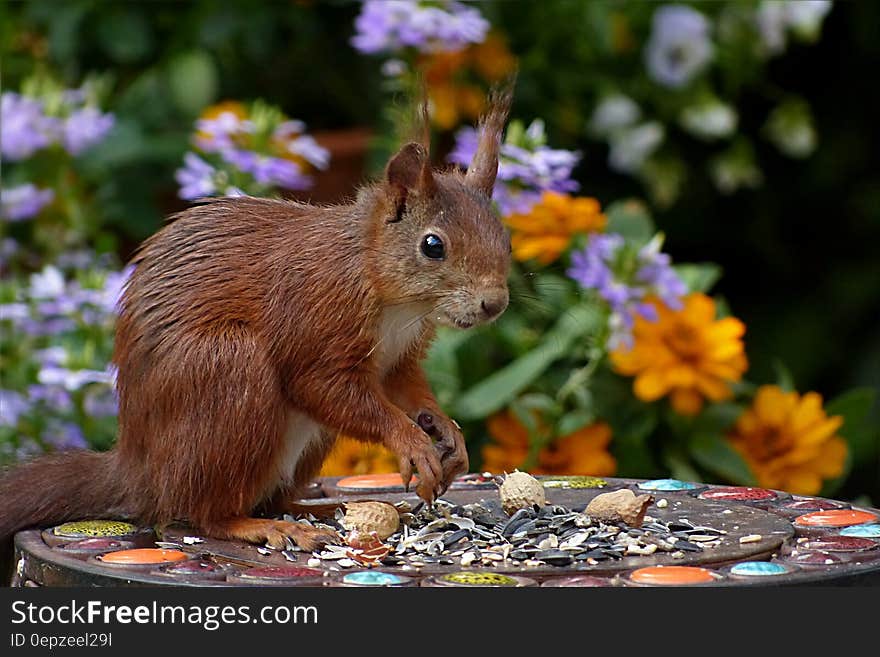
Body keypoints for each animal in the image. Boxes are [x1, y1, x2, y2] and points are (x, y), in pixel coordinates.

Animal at [0, 84, 512, 552]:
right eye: (433, 245)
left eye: (504, 236)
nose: (494, 303)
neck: (396, 298)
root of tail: (139, 471)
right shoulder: (315, 314)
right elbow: (323, 387)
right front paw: (410, 440)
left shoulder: (400, 353)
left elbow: (405, 387)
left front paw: (445, 431)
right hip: (227, 370)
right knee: (205, 513)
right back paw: (263, 527)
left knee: (274, 497)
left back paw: (321, 509)